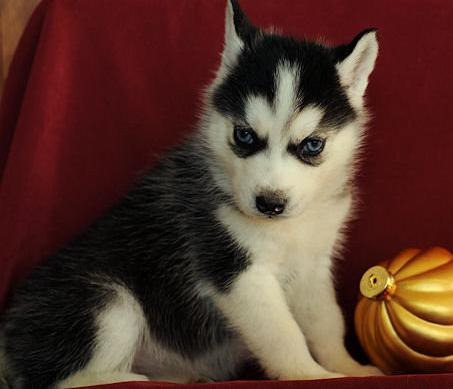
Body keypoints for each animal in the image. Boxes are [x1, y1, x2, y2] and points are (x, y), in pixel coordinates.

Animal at [0, 0, 382, 388]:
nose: (269, 204)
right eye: (244, 135)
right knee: (55, 379)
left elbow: (327, 323)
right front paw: (307, 374)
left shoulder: (313, 266)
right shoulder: (234, 270)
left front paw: (349, 368)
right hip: (109, 302)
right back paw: (138, 378)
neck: (285, 228)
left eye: (312, 145)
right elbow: (282, 332)